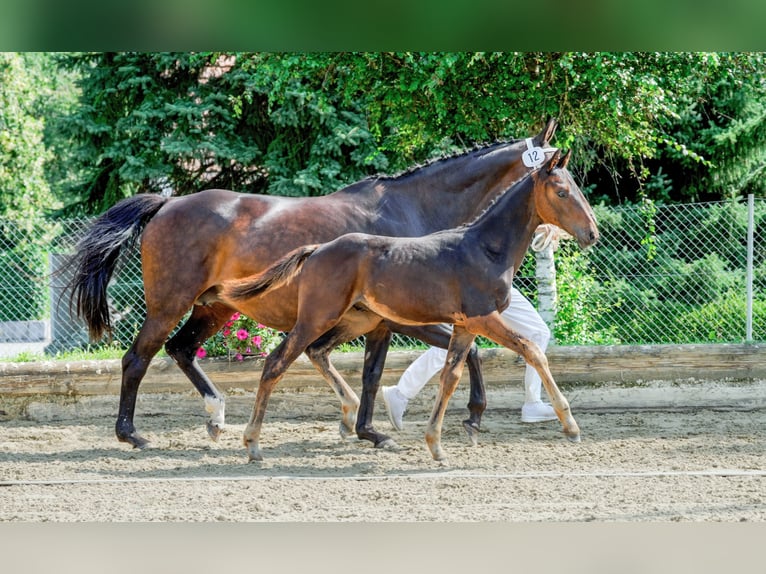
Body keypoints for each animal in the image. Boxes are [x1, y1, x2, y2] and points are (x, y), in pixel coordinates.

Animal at [66, 118, 560, 450]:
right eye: (558, 180)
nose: (553, 237)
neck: (412, 210)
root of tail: (167, 204)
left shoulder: (387, 320)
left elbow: (377, 372)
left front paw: (368, 429)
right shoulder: (402, 319)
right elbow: (454, 355)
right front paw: (463, 418)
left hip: (214, 306)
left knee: (182, 349)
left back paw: (216, 416)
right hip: (169, 304)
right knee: (137, 358)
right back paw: (132, 435)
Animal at [222, 150, 600, 464]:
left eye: (577, 188)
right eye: (561, 192)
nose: (592, 234)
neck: (484, 248)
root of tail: (317, 249)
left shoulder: (465, 325)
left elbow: (450, 375)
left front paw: (437, 443)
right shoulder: (484, 317)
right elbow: (532, 350)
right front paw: (571, 426)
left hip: (358, 321)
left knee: (315, 353)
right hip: (316, 318)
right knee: (276, 362)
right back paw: (252, 444)